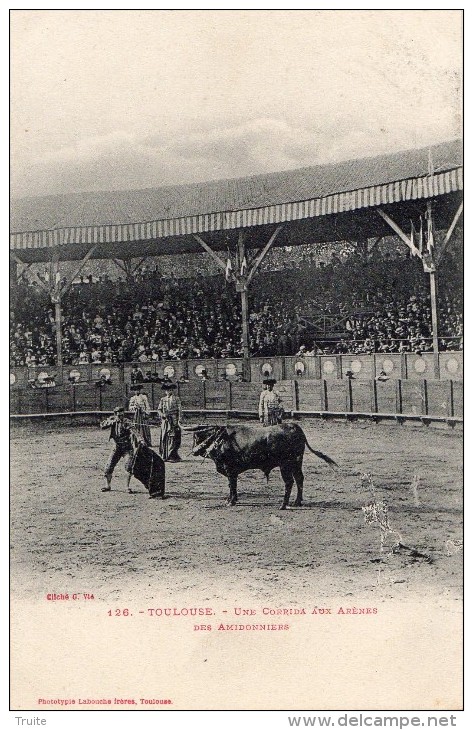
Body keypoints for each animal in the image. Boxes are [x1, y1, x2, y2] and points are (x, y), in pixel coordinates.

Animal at [184, 420, 336, 506]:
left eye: (196, 438)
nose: (193, 451)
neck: (221, 439)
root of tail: (295, 427)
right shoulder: (231, 471)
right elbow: (232, 486)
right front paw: (232, 500)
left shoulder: (230, 469)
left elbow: (232, 485)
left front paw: (231, 501)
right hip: (296, 464)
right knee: (299, 479)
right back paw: (297, 502)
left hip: (286, 465)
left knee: (289, 482)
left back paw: (283, 504)